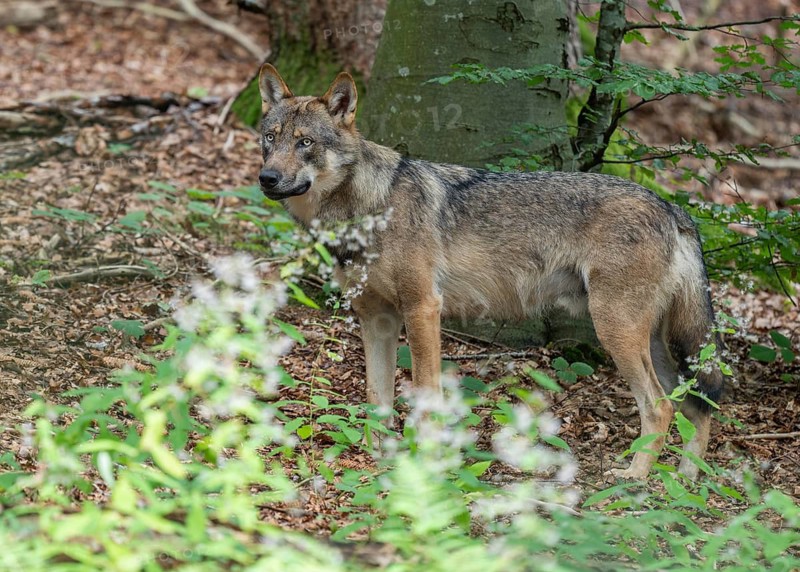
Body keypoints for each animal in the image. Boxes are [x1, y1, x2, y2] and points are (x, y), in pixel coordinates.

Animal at [256, 64, 725, 480]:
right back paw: (686, 481)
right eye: (270, 138)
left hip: (617, 332)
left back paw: (636, 477)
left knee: (661, 406)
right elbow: (377, 397)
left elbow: (425, 392)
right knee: (696, 405)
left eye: (305, 142)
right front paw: (376, 458)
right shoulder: (377, 319)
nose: (267, 177)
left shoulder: (423, 308)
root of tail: (673, 208)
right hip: (662, 344)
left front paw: (422, 458)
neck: (367, 207)